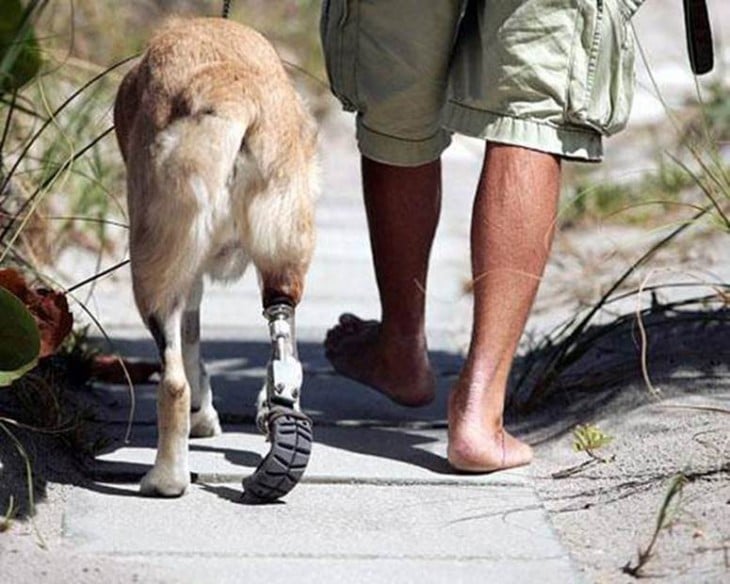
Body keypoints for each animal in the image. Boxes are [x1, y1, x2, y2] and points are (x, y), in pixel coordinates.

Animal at [113, 17, 316, 498]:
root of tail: (233, 96)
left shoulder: (187, 276)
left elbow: (190, 344)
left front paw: (203, 419)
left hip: (153, 267)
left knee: (173, 381)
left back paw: (165, 479)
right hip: (284, 250)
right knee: (285, 347)